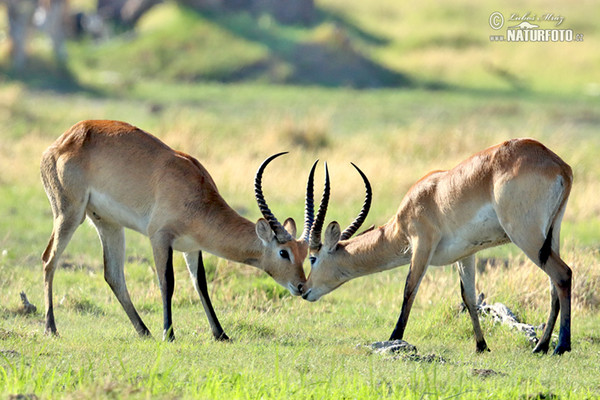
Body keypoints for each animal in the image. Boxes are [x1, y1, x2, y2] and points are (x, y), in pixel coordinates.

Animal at [39, 119, 316, 340]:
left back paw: (144, 331)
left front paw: (221, 334)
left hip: (109, 224)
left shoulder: (192, 247)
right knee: (49, 260)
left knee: (113, 275)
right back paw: (51, 328)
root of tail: (62, 140)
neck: (196, 194)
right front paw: (169, 334)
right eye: (283, 252)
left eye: (305, 255)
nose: (301, 287)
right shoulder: (160, 238)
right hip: (69, 214)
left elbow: (200, 284)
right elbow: (167, 282)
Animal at [302, 139, 576, 354]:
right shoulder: (467, 254)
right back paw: (541, 346)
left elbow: (409, 289)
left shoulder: (421, 244)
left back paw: (561, 346)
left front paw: (394, 339)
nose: (304, 290)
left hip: (525, 235)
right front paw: (481, 346)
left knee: (563, 274)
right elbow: (469, 297)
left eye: (313, 258)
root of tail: (559, 165)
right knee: (553, 286)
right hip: (550, 236)